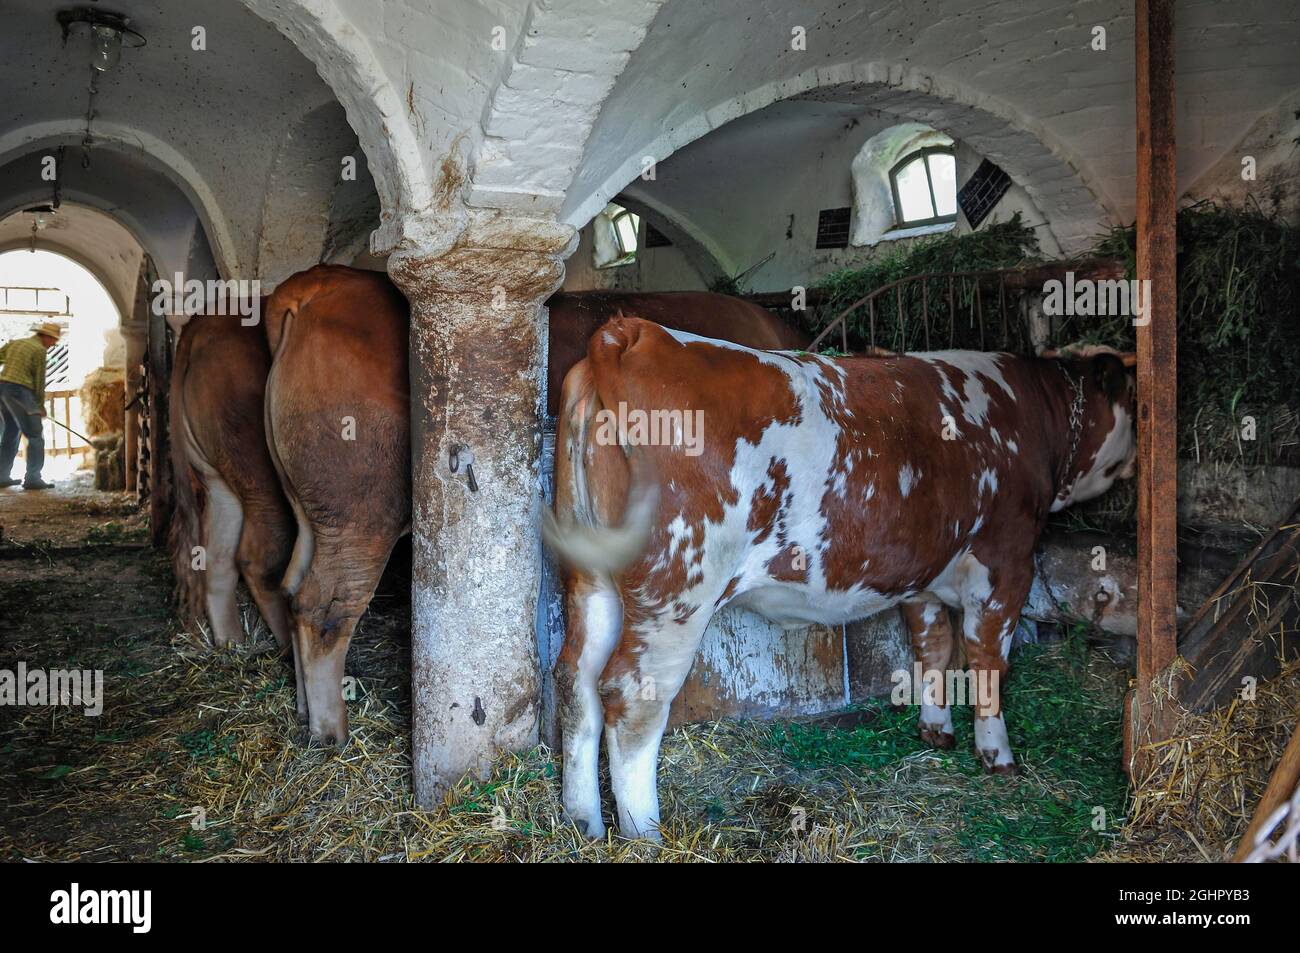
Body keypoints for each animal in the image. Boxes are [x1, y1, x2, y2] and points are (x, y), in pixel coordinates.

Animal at [170, 312, 295, 655]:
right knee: (259, 557)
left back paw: (230, 641)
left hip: (215, 477)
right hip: (260, 472)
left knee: (215, 555)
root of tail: (200, 325)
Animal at [543, 317, 1133, 832]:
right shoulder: (1006, 561)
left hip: (591, 578)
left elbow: (933, 648)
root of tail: (634, 332)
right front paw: (997, 756)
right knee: (632, 695)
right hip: (677, 590)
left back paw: (584, 823)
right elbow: (988, 662)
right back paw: (645, 833)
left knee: (576, 680)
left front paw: (935, 729)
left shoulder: (919, 575)